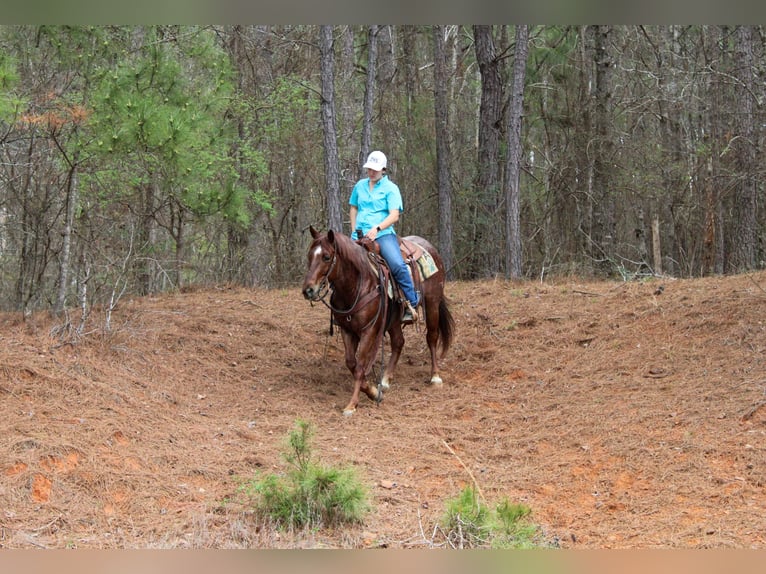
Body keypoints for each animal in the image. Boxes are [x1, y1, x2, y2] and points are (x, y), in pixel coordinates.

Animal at [302, 225, 455, 416]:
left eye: (326, 257)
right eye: (309, 256)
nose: (308, 290)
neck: (357, 285)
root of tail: (429, 247)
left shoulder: (369, 329)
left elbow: (360, 366)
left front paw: (352, 404)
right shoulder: (347, 330)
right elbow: (351, 363)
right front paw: (374, 391)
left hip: (432, 304)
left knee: (432, 337)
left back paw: (435, 376)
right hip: (395, 320)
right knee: (398, 342)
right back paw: (385, 379)